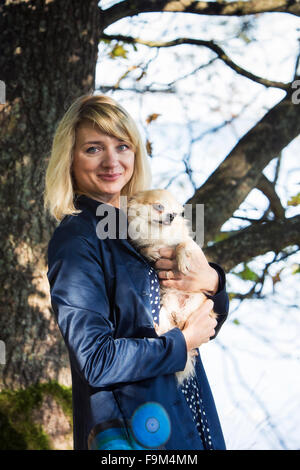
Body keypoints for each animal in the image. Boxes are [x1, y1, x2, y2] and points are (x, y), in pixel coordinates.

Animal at [126, 189, 216, 384]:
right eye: (159, 207)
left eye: (175, 213)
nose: (172, 216)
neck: (158, 234)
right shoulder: (141, 243)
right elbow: (144, 248)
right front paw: (151, 252)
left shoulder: (189, 244)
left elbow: (181, 245)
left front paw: (182, 263)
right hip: (165, 310)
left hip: (195, 302)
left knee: (184, 320)